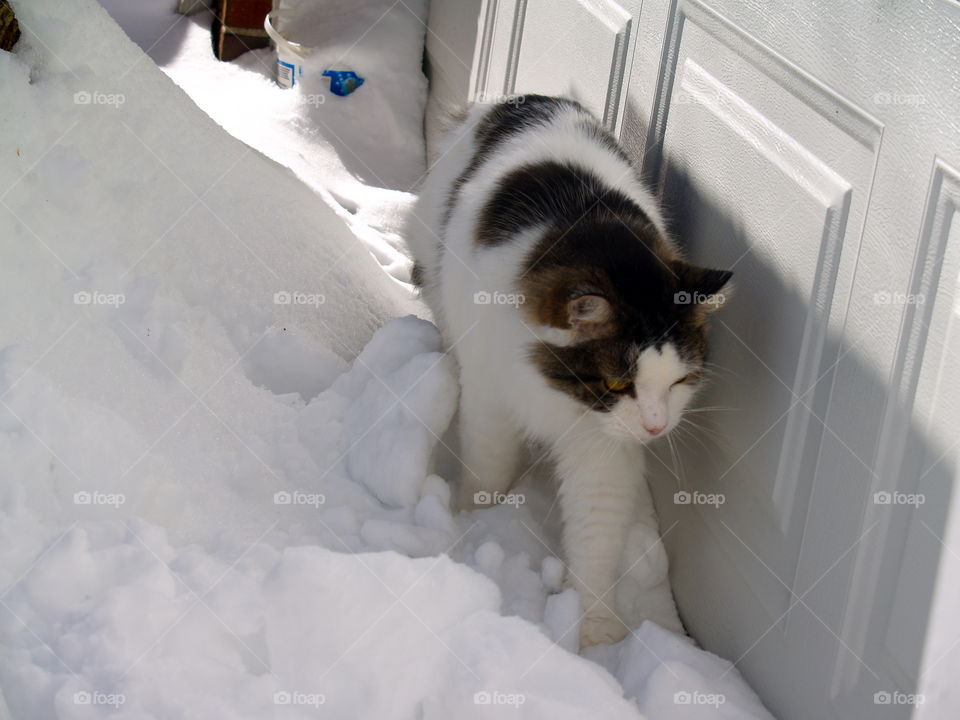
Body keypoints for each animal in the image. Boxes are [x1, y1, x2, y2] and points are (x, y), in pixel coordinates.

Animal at [406, 94, 736, 648]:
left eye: (679, 382)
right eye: (618, 383)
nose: (655, 427)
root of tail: (532, 99)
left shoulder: (603, 449)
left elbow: (595, 541)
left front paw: (595, 638)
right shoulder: (492, 397)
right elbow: (487, 471)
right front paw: (476, 521)